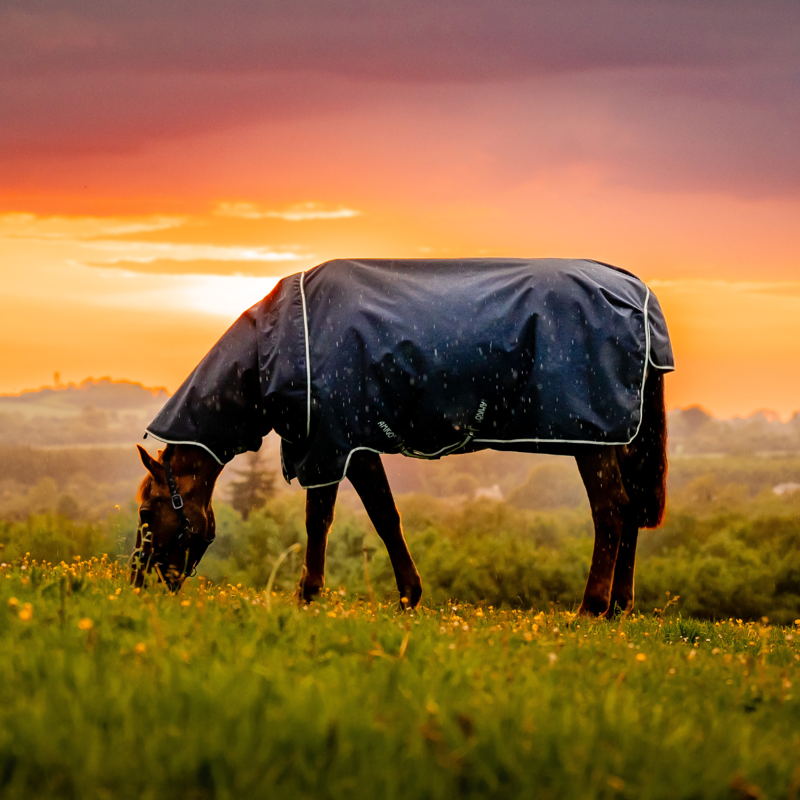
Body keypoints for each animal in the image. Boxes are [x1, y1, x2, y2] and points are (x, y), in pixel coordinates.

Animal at [131, 257, 673, 617]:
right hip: (617, 439)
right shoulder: (350, 446)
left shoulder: (335, 446)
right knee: (629, 510)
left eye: (146, 512)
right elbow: (383, 516)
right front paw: (407, 595)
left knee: (612, 509)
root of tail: (638, 292)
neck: (275, 347)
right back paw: (619, 607)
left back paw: (591, 607)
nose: (137, 582)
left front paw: (311, 595)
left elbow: (340, 519)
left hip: (591, 438)